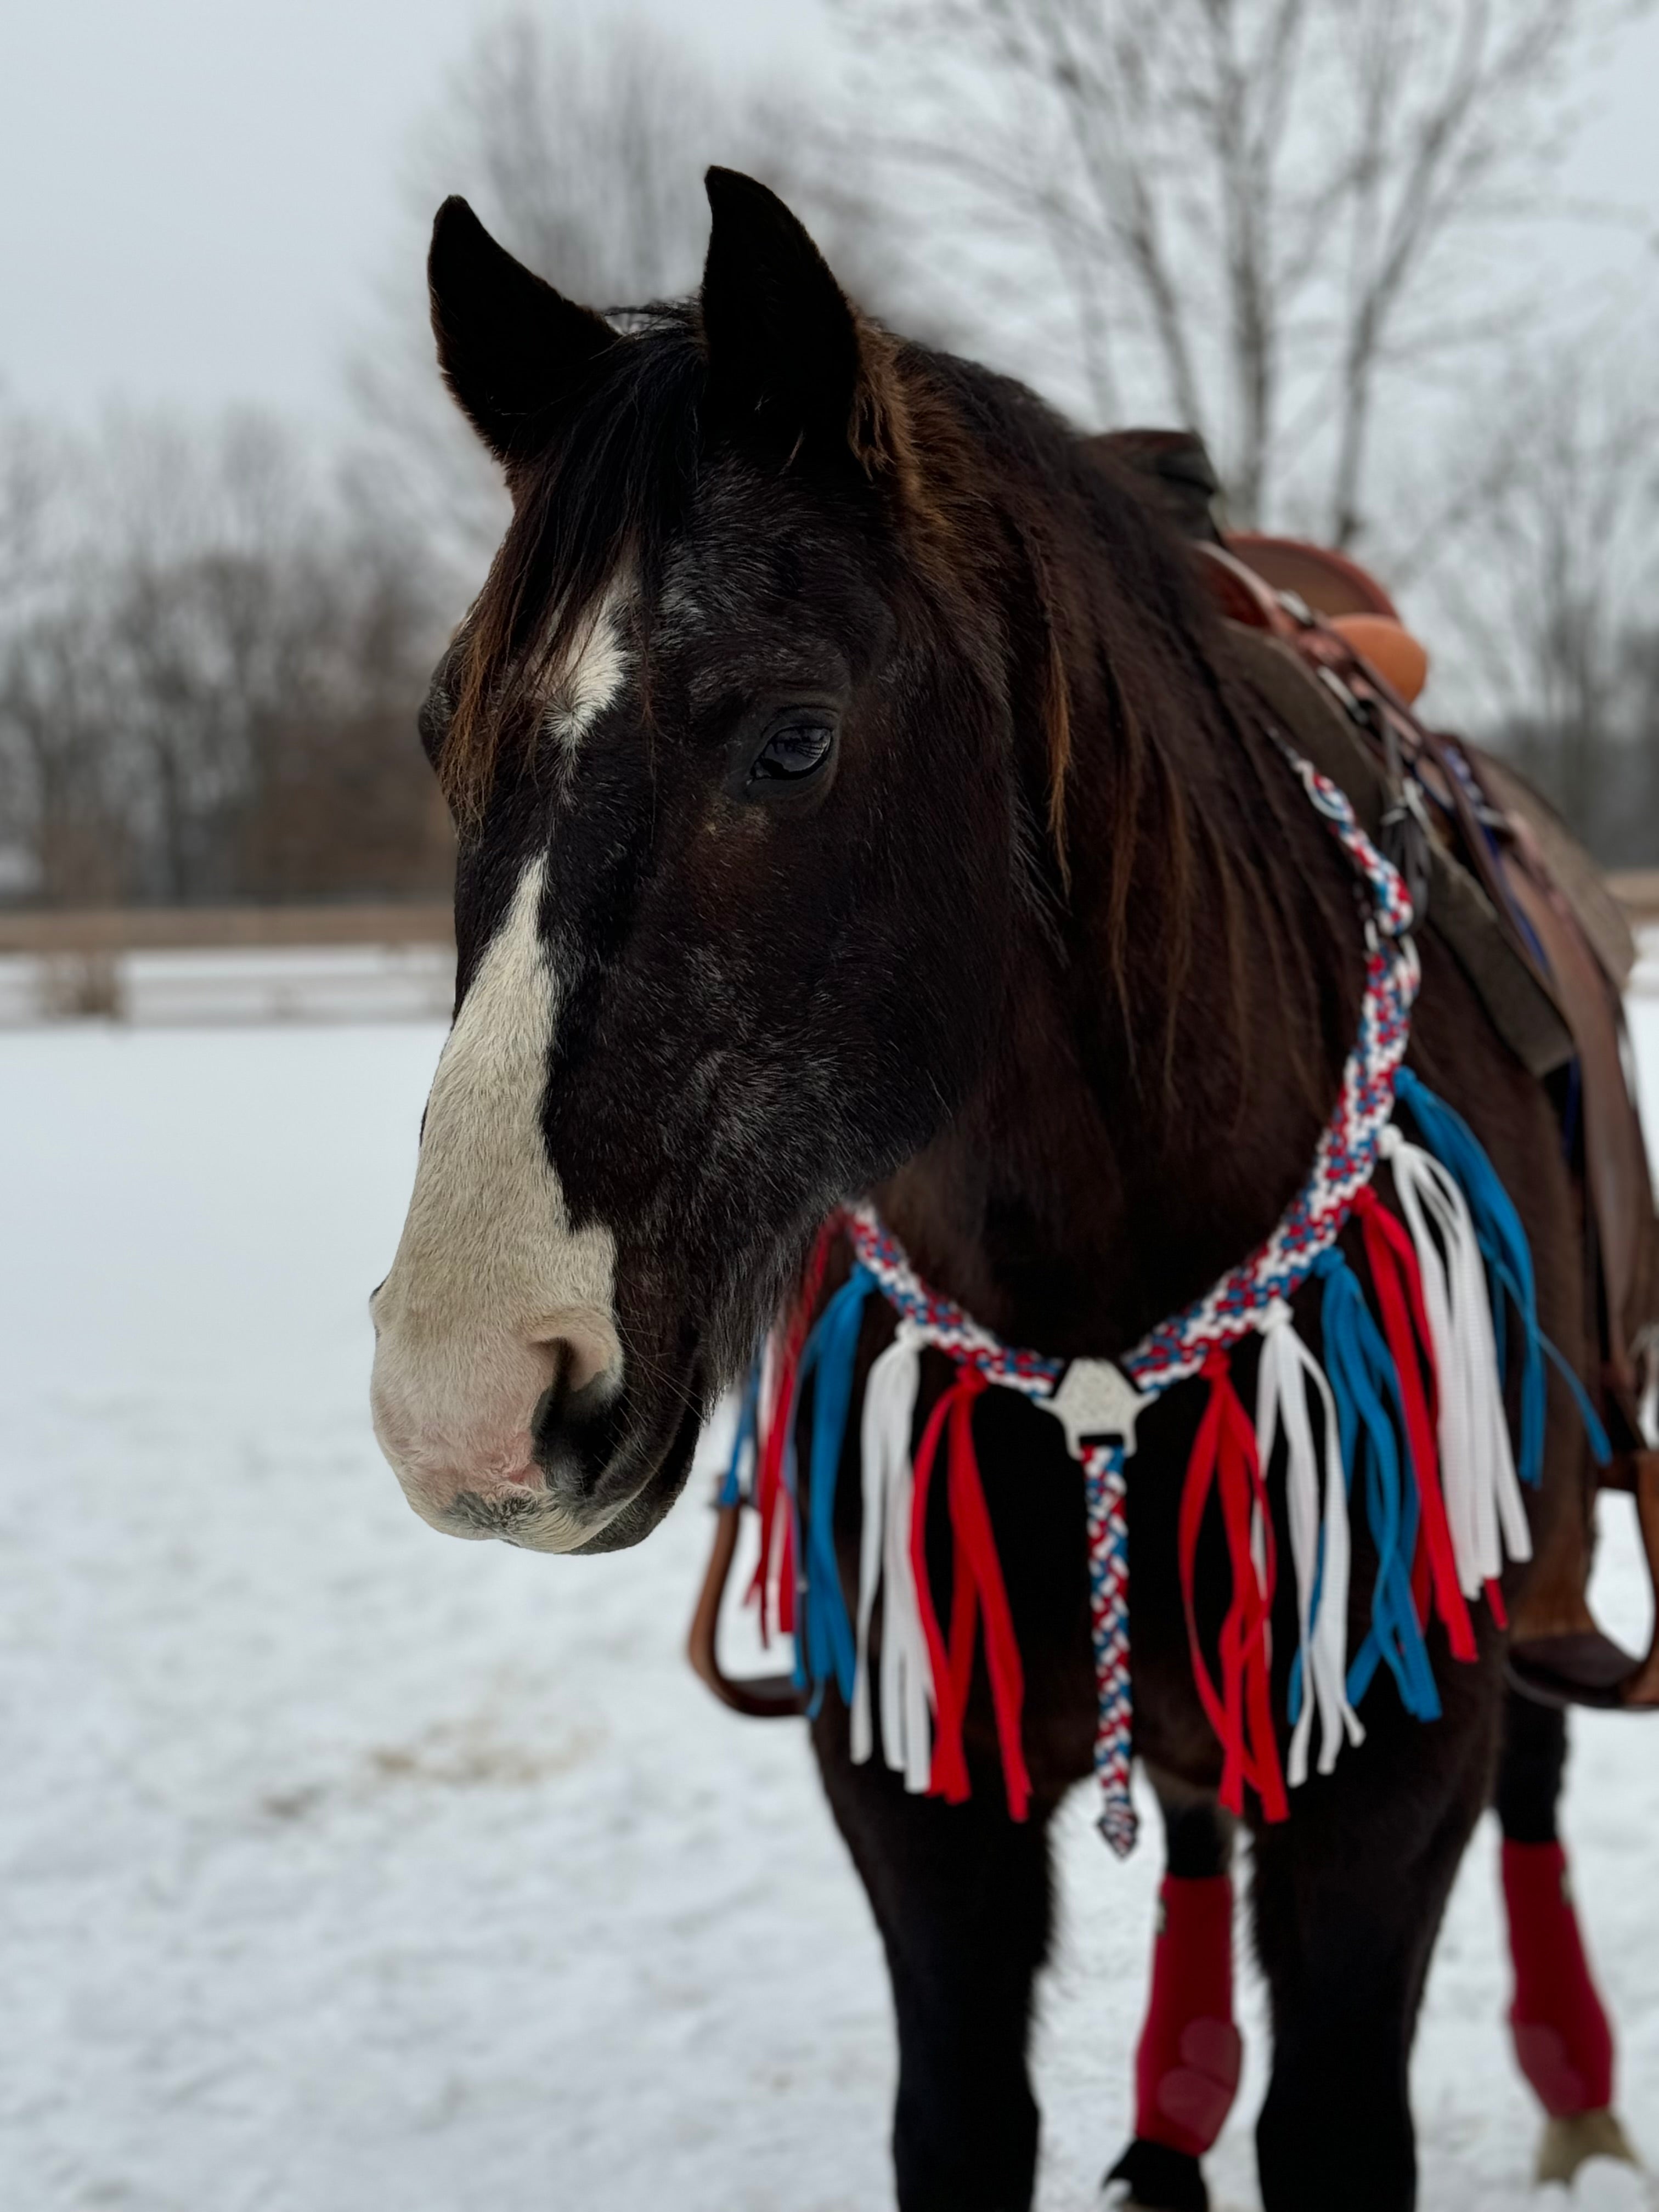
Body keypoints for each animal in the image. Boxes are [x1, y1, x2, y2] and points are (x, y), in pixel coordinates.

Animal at [369, 177, 1619, 2212]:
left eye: (793, 734)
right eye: (439, 733)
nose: (467, 1399)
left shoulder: (1393, 1751)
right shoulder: (919, 1790)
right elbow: (963, 2118)